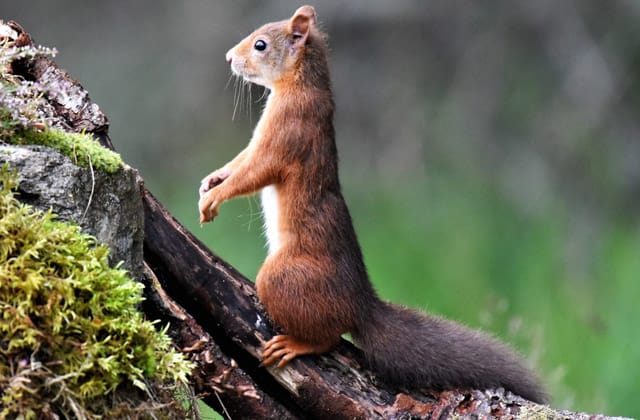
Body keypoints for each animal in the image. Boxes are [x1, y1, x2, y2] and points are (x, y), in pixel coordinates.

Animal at [198, 5, 547, 404]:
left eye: (260, 45)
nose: (229, 57)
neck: (298, 85)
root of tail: (361, 306)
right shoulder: (261, 140)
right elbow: (240, 161)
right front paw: (212, 180)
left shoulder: (287, 133)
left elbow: (254, 170)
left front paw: (216, 196)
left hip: (282, 277)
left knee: (329, 336)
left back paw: (296, 344)